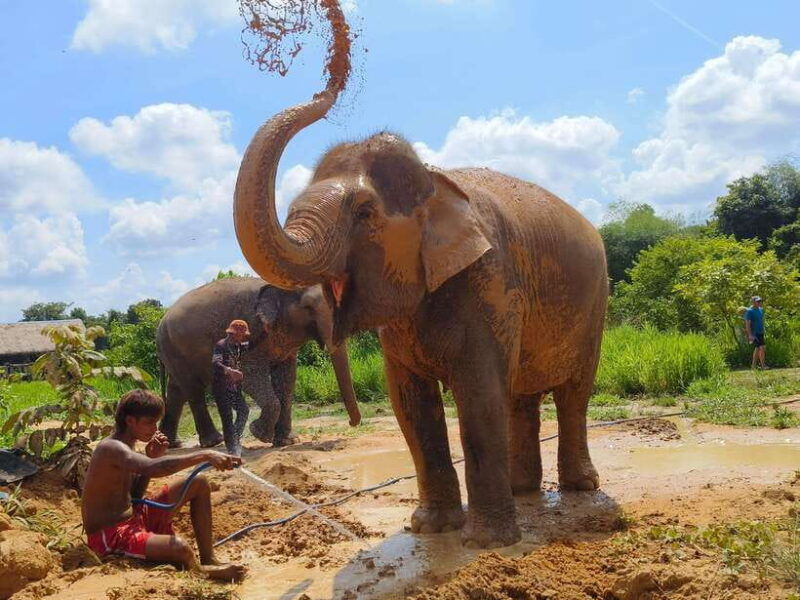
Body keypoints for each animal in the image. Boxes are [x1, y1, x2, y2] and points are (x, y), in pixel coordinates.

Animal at [156, 276, 361, 448]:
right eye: (308, 306)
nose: (351, 423)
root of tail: (161, 320)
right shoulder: (250, 328)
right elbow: (250, 375)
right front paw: (259, 434)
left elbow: (287, 379)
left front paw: (287, 442)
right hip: (175, 348)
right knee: (193, 389)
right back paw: (214, 442)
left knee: (177, 390)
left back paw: (170, 443)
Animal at [232, 91, 608, 549]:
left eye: (364, 213)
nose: (330, 88)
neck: (433, 181)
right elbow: (410, 404)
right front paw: (431, 528)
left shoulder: (491, 278)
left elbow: (480, 394)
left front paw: (487, 544)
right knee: (522, 396)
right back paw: (523, 491)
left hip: (595, 306)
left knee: (574, 393)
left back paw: (580, 488)